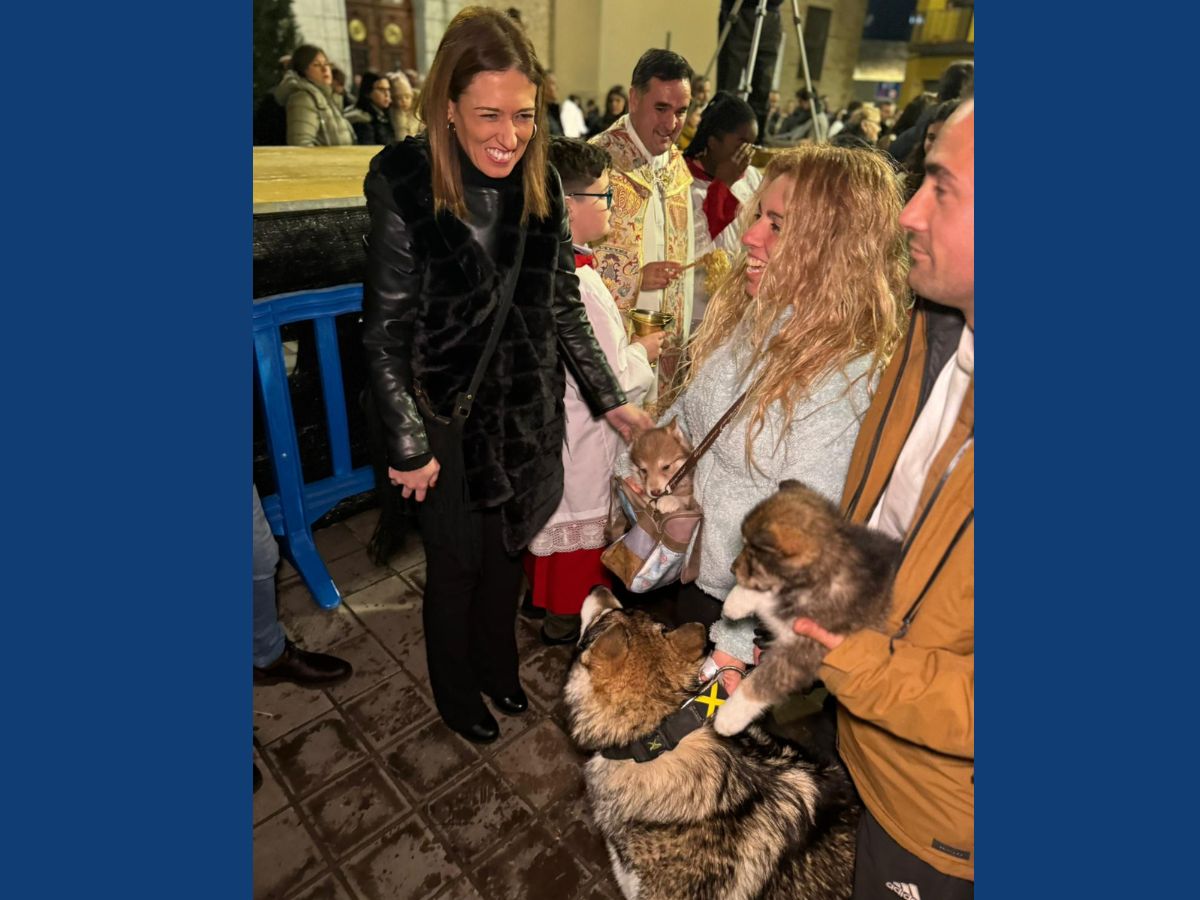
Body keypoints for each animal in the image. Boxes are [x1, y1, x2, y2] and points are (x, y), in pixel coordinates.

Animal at [710, 482, 902, 734]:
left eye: (752, 553)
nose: (732, 569)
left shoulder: (804, 650)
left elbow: (762, 683)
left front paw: (728, 717)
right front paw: (736, 602)